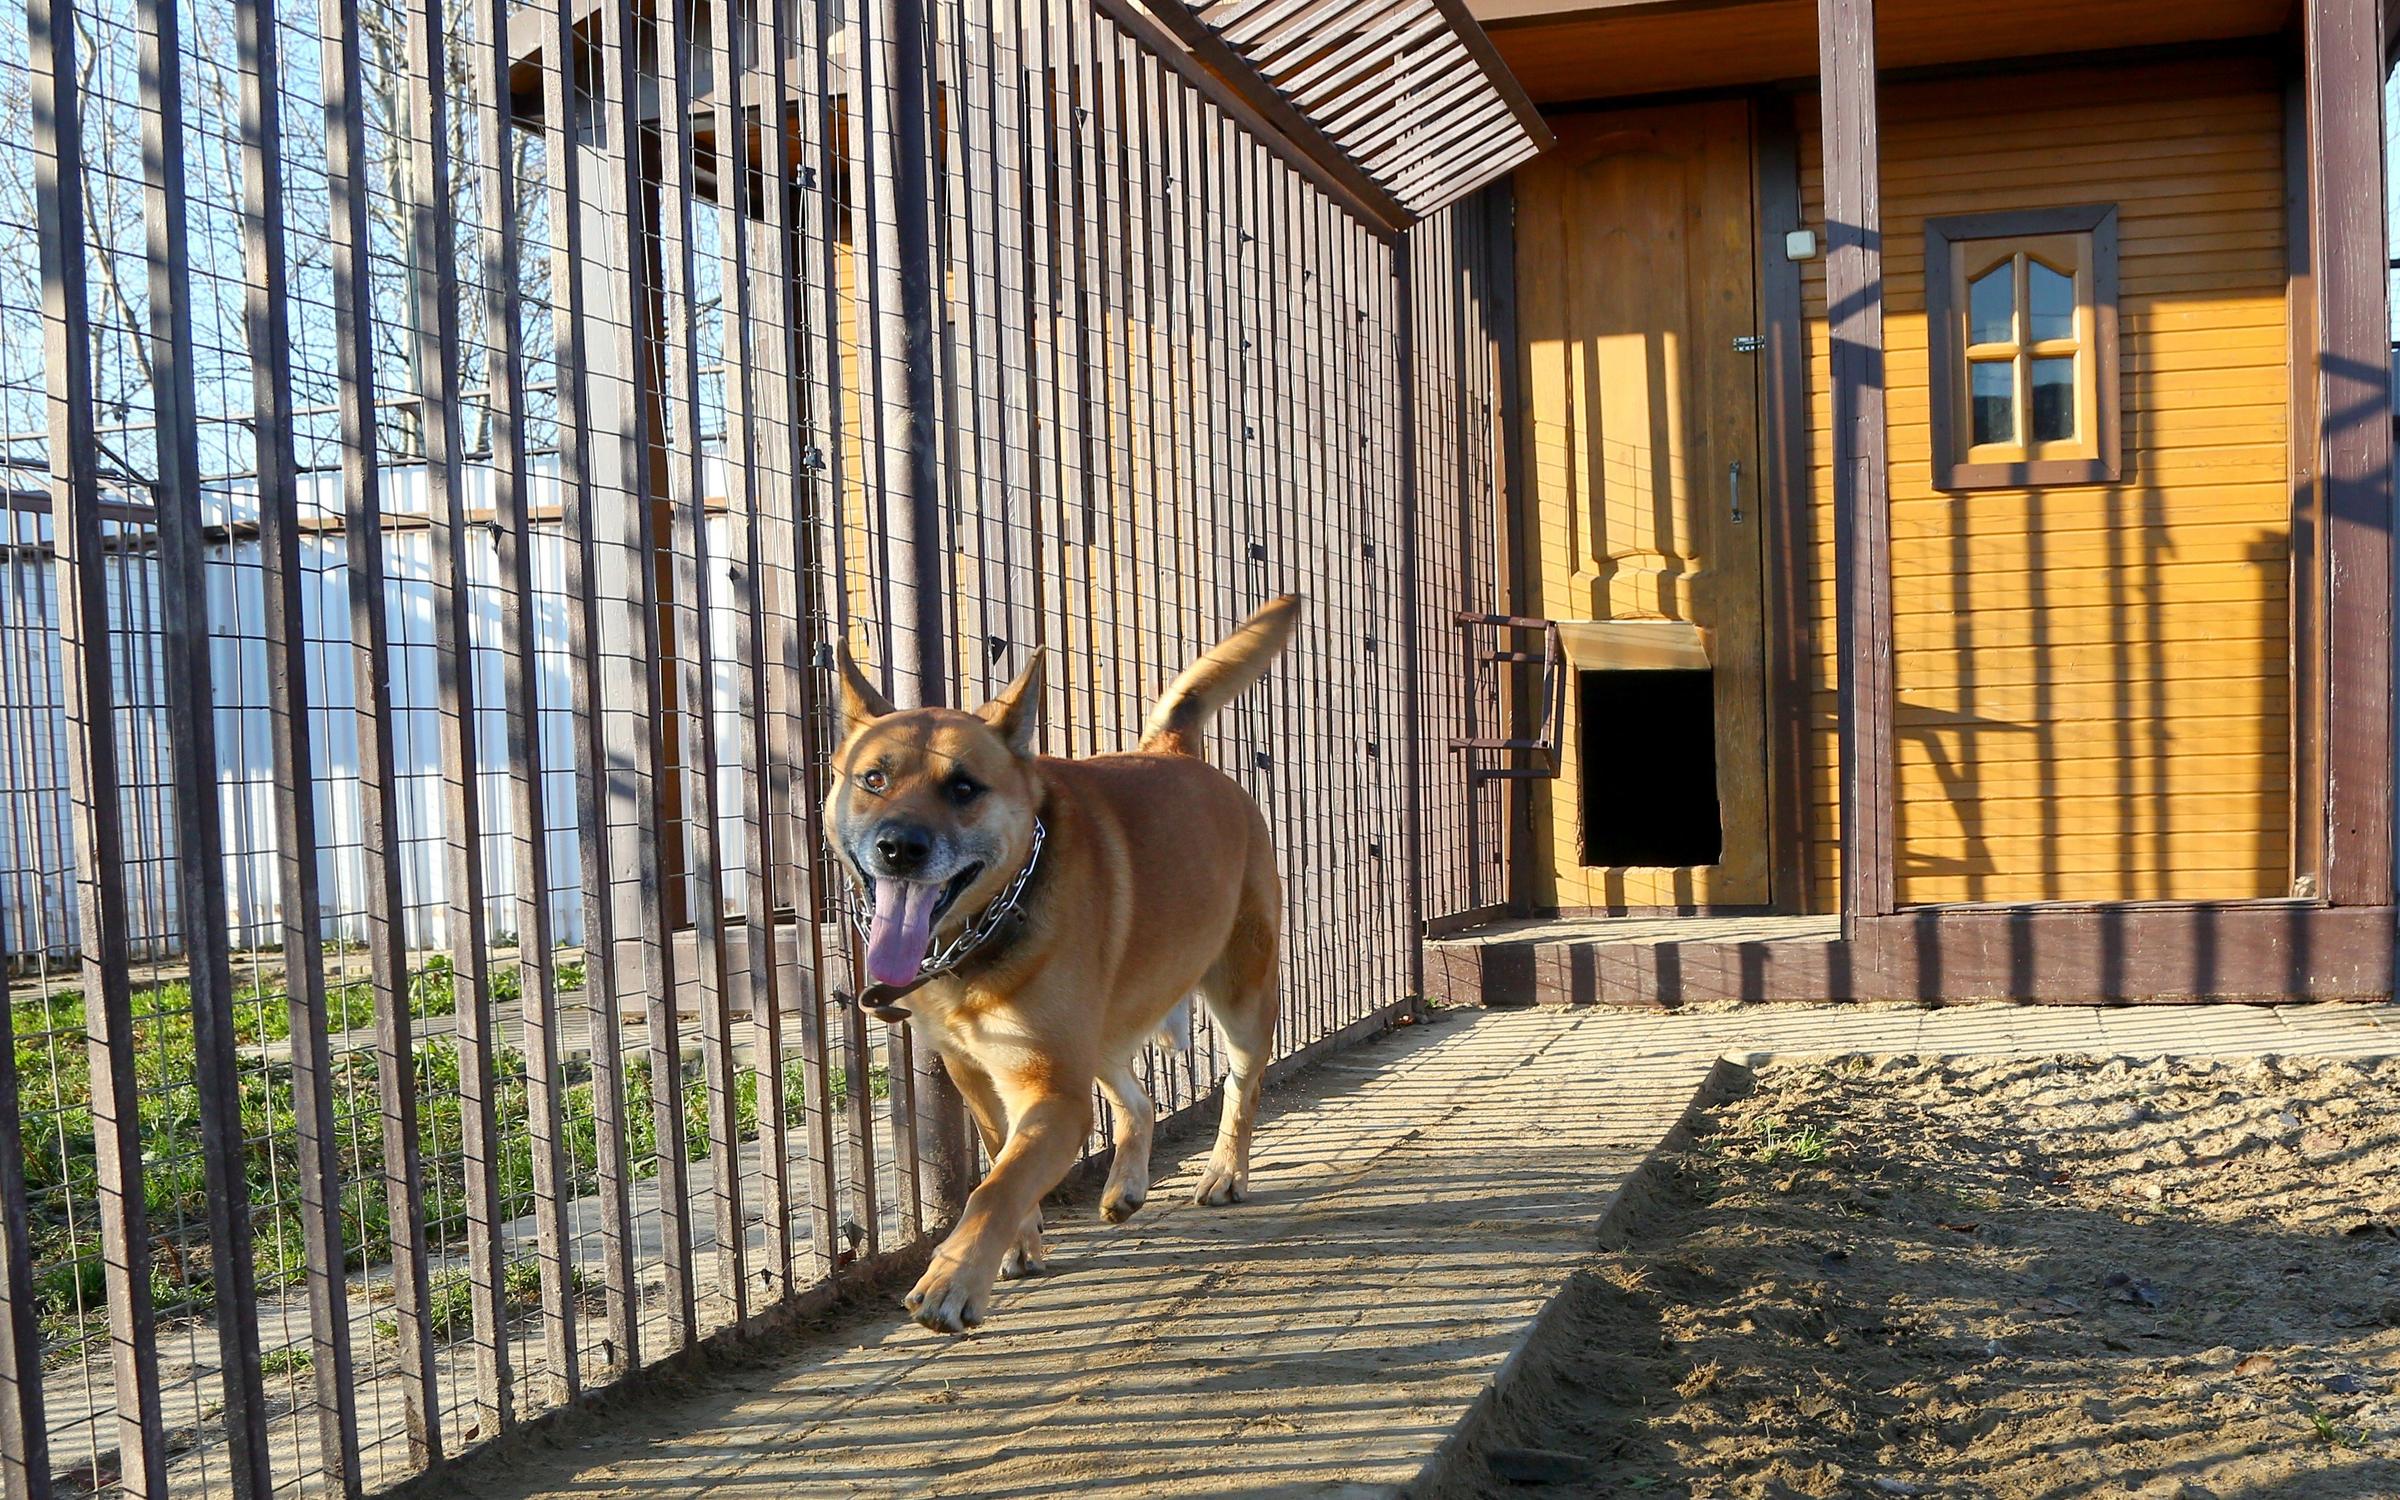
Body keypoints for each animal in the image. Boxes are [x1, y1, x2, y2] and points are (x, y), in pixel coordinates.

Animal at [835, 590, 1305, 1324]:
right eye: (874, 778)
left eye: (963, 787)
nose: (898, 848)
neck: (986, 932)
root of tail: (1171, 749)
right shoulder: (976, 1073)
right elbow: (1000, 1158)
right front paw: (1017, 1246)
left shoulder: (1053, 1090)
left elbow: (996, 1186)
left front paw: (954, 1279)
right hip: (1101, 1032)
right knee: (1138, 1102)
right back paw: (1125, 1188)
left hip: (1242, 999)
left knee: (1242, 1084)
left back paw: (1225, 1172)